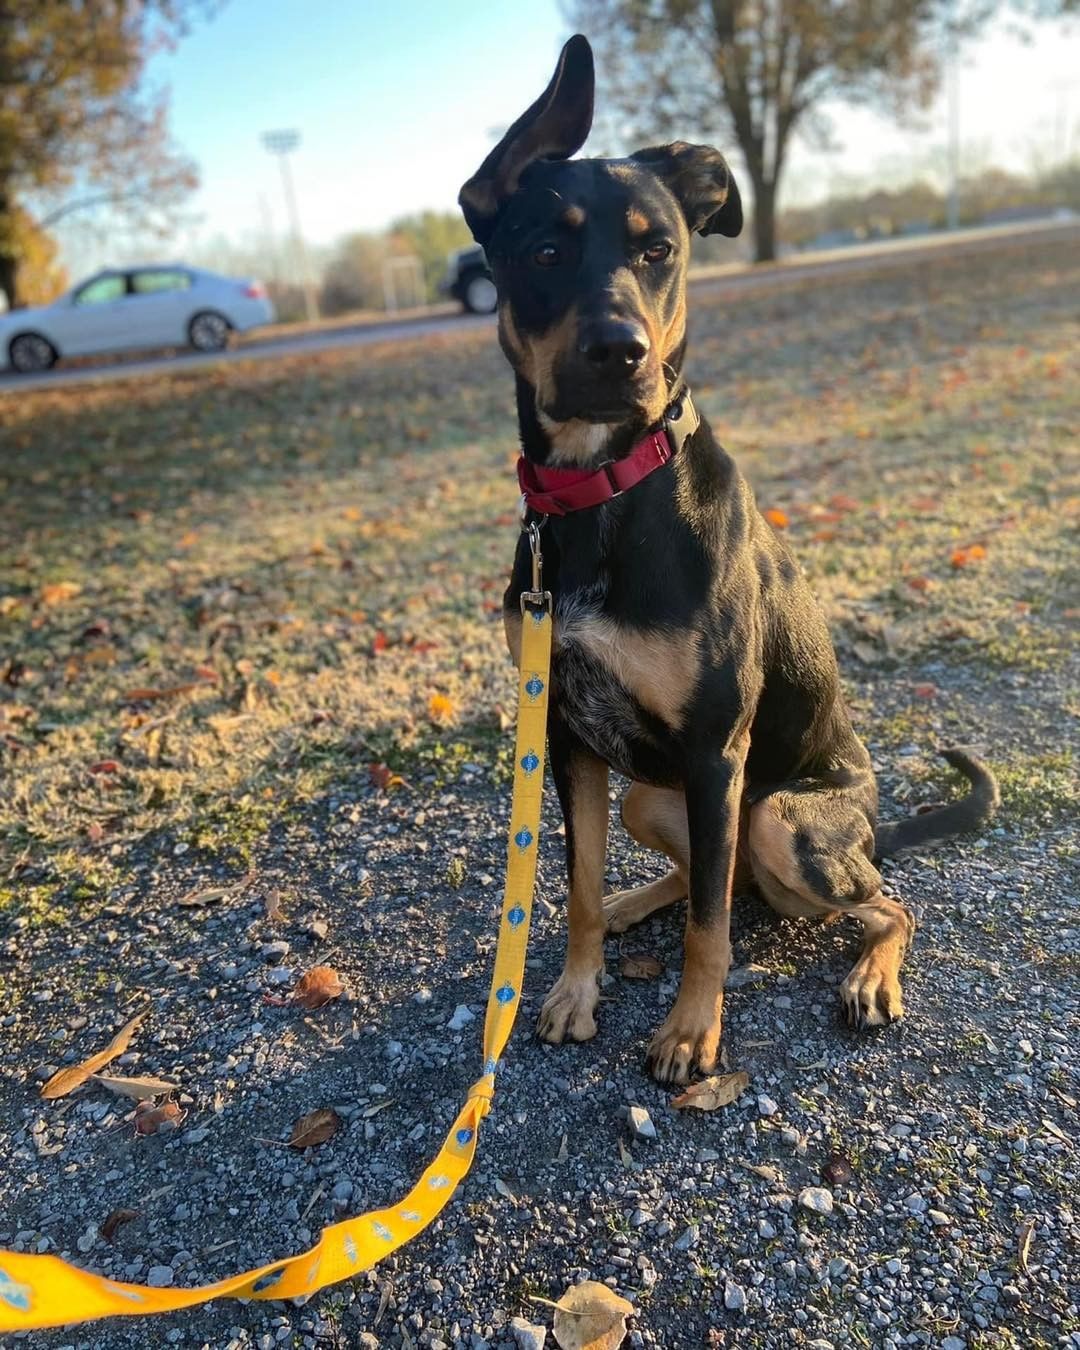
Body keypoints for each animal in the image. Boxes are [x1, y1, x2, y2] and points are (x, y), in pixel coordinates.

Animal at [456, 34, 993, 1085]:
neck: (602, 492)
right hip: (653, 800)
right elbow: (581, 888)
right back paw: (641, 906)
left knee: (869, 901)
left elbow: (711, 927)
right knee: (712, 877)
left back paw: (870, 976)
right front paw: (578, 988)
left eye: (657, 250)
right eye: (545, 252)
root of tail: (875, 823)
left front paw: (691, 1031)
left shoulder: (716, 753)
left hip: (778, 816)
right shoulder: (570, 739)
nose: (620, 352)